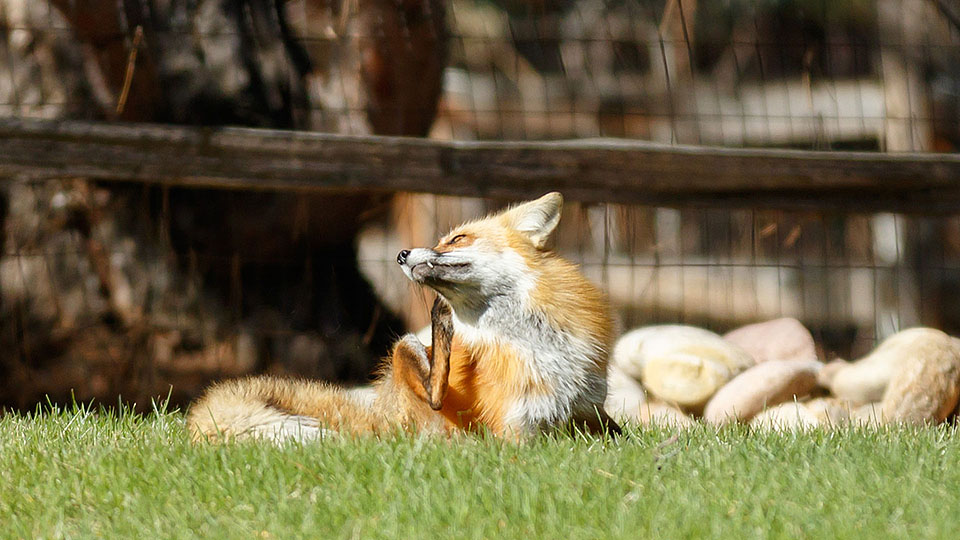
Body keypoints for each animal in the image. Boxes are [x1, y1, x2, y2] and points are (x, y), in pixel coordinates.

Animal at [187, 192, 620, 440]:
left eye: (457, 238)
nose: (401, 254)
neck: (536, 343)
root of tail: (380, 415)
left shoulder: (590, 413)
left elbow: (618, 437)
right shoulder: (513, 431)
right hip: (405, 351)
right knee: (432, 391)